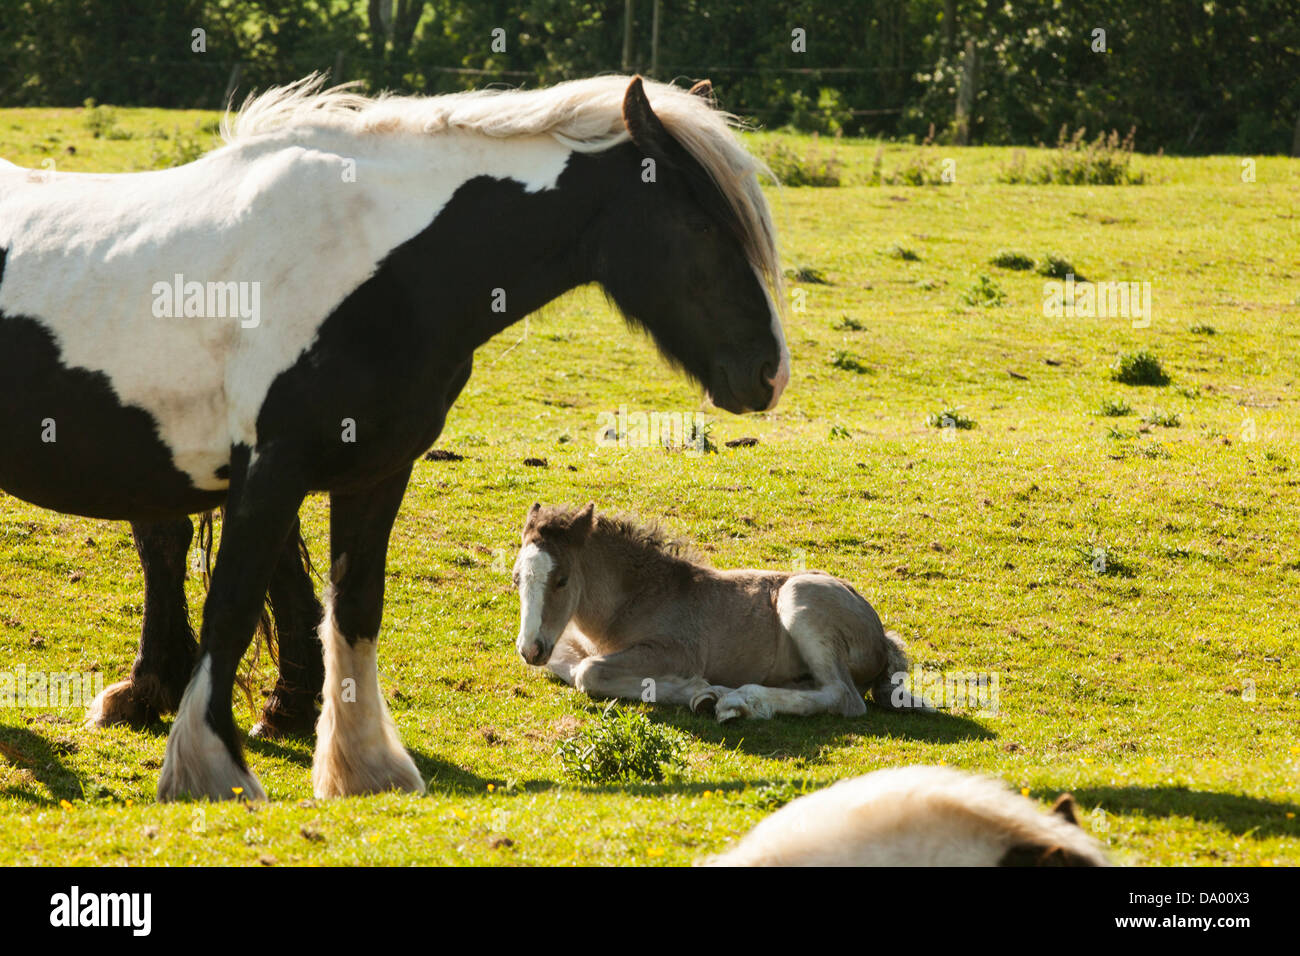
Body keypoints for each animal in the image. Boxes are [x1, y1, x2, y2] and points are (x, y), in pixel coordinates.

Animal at [0, 73, 789, 801]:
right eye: (704, 228)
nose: (769, 373)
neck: (372, 267)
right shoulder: (271, 472)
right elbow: (232, 607)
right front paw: (211, 769)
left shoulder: (374, 472)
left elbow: (354, 609)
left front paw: (363, 767)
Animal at [512, 503, 925, 720]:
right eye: (517, 578)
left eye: (562, 580)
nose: (530, 649)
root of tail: (881, 638)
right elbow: (567, 664)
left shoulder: (676, 652)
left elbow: (589, 671)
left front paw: (698, 691)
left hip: (800, 597)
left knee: (844, 697)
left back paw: (738, 701)